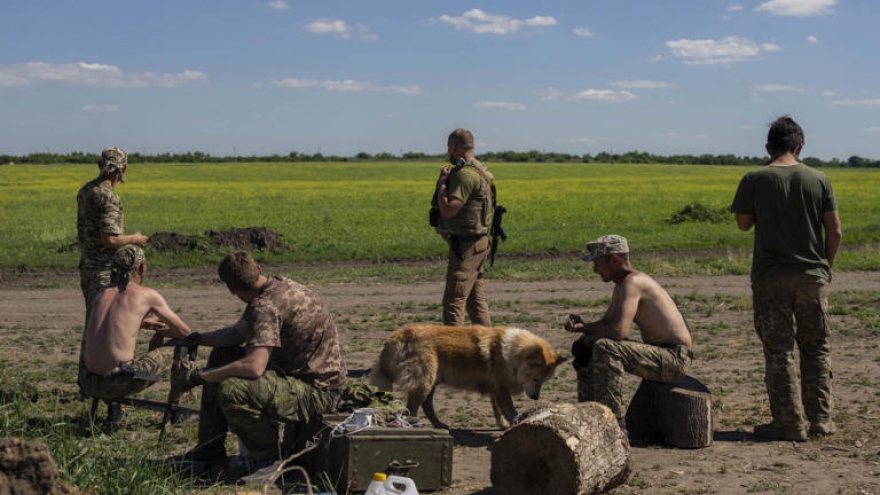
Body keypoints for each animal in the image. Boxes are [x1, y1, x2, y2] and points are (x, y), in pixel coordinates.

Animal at [370, 326, 564, 430]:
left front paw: (501, 424)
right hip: (424, 381)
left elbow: (497, 409)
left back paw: (439, 425)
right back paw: (415, 424)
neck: (512, 353)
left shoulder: (494, 389)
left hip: (431, 382)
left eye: (544, 381)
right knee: (413, 407)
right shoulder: (501, 389)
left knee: (426, 405)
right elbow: (510, 410)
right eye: (535, 379)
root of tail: (398, 335)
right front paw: (514, 424)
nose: (536, 397)